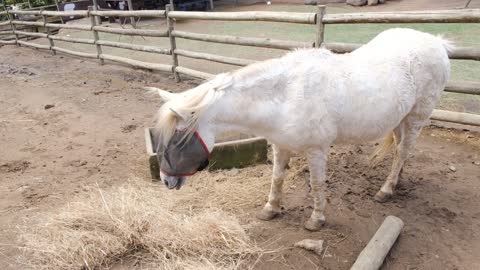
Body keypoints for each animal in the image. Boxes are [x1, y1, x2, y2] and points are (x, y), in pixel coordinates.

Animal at [150, 29, 450, 230]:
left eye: (177, 139)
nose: (166, 180)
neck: (286, 96)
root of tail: (436, 42)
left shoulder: (316, 150)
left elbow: (316, 183)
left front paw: (316, 219)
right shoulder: (280, 145)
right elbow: (276, 178)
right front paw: (270, 209)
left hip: (416, 118)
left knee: (403, 151)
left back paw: (386, 189)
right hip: (399, 118)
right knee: (400, 150)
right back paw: (396, 181)